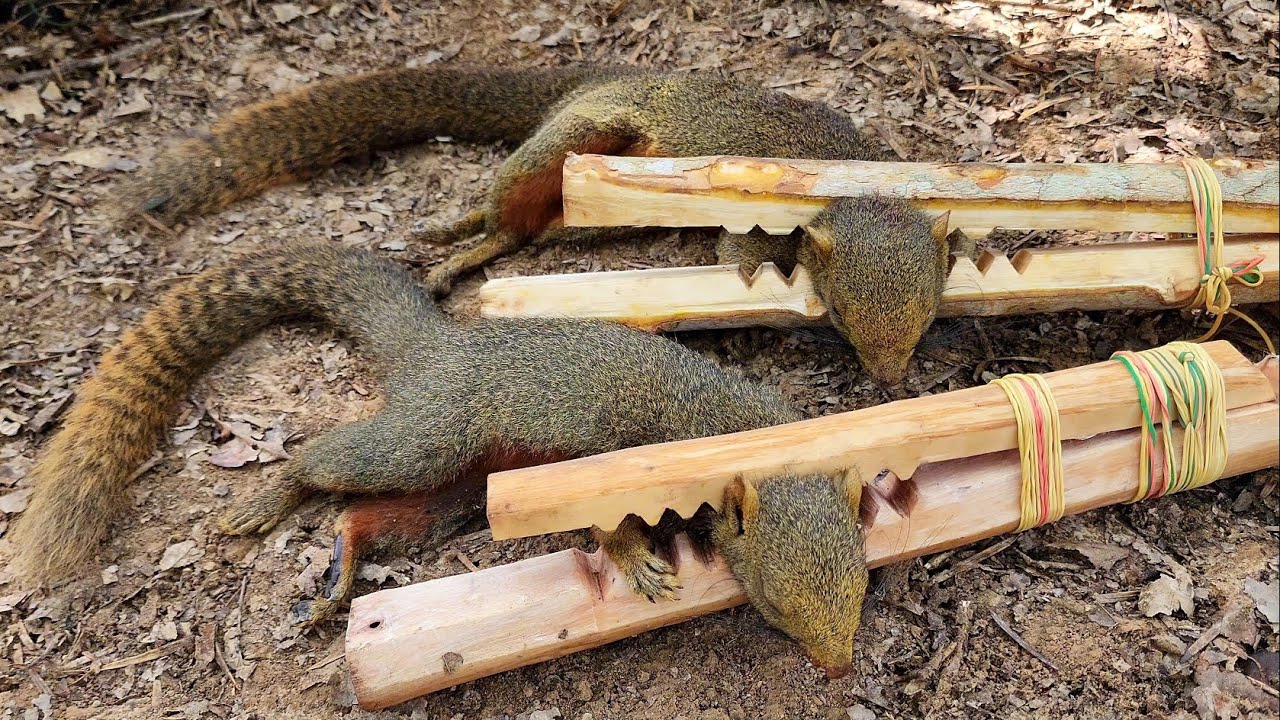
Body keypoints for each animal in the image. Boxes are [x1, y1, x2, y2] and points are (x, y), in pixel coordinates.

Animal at [7, 244, 870, 679]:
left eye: (861, 589)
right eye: (777, 606)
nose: (836, 670)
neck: (741, 432)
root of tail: (441, 349)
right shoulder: (607, 456)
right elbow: (606, 521)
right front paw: (637, 561)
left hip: (456, 486)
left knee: (365, 519)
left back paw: (340, 568)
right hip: (430, 441)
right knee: (332, 460)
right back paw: (269, 497)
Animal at [119, 65, 953, 385]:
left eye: (922, 323)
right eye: (840, 317)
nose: (889, 379)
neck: (851, 173)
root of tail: (610, 76)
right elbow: (737, 239)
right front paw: (748, 270)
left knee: (545, 229)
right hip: (578, 139)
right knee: (515, 208)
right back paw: (470, 239)